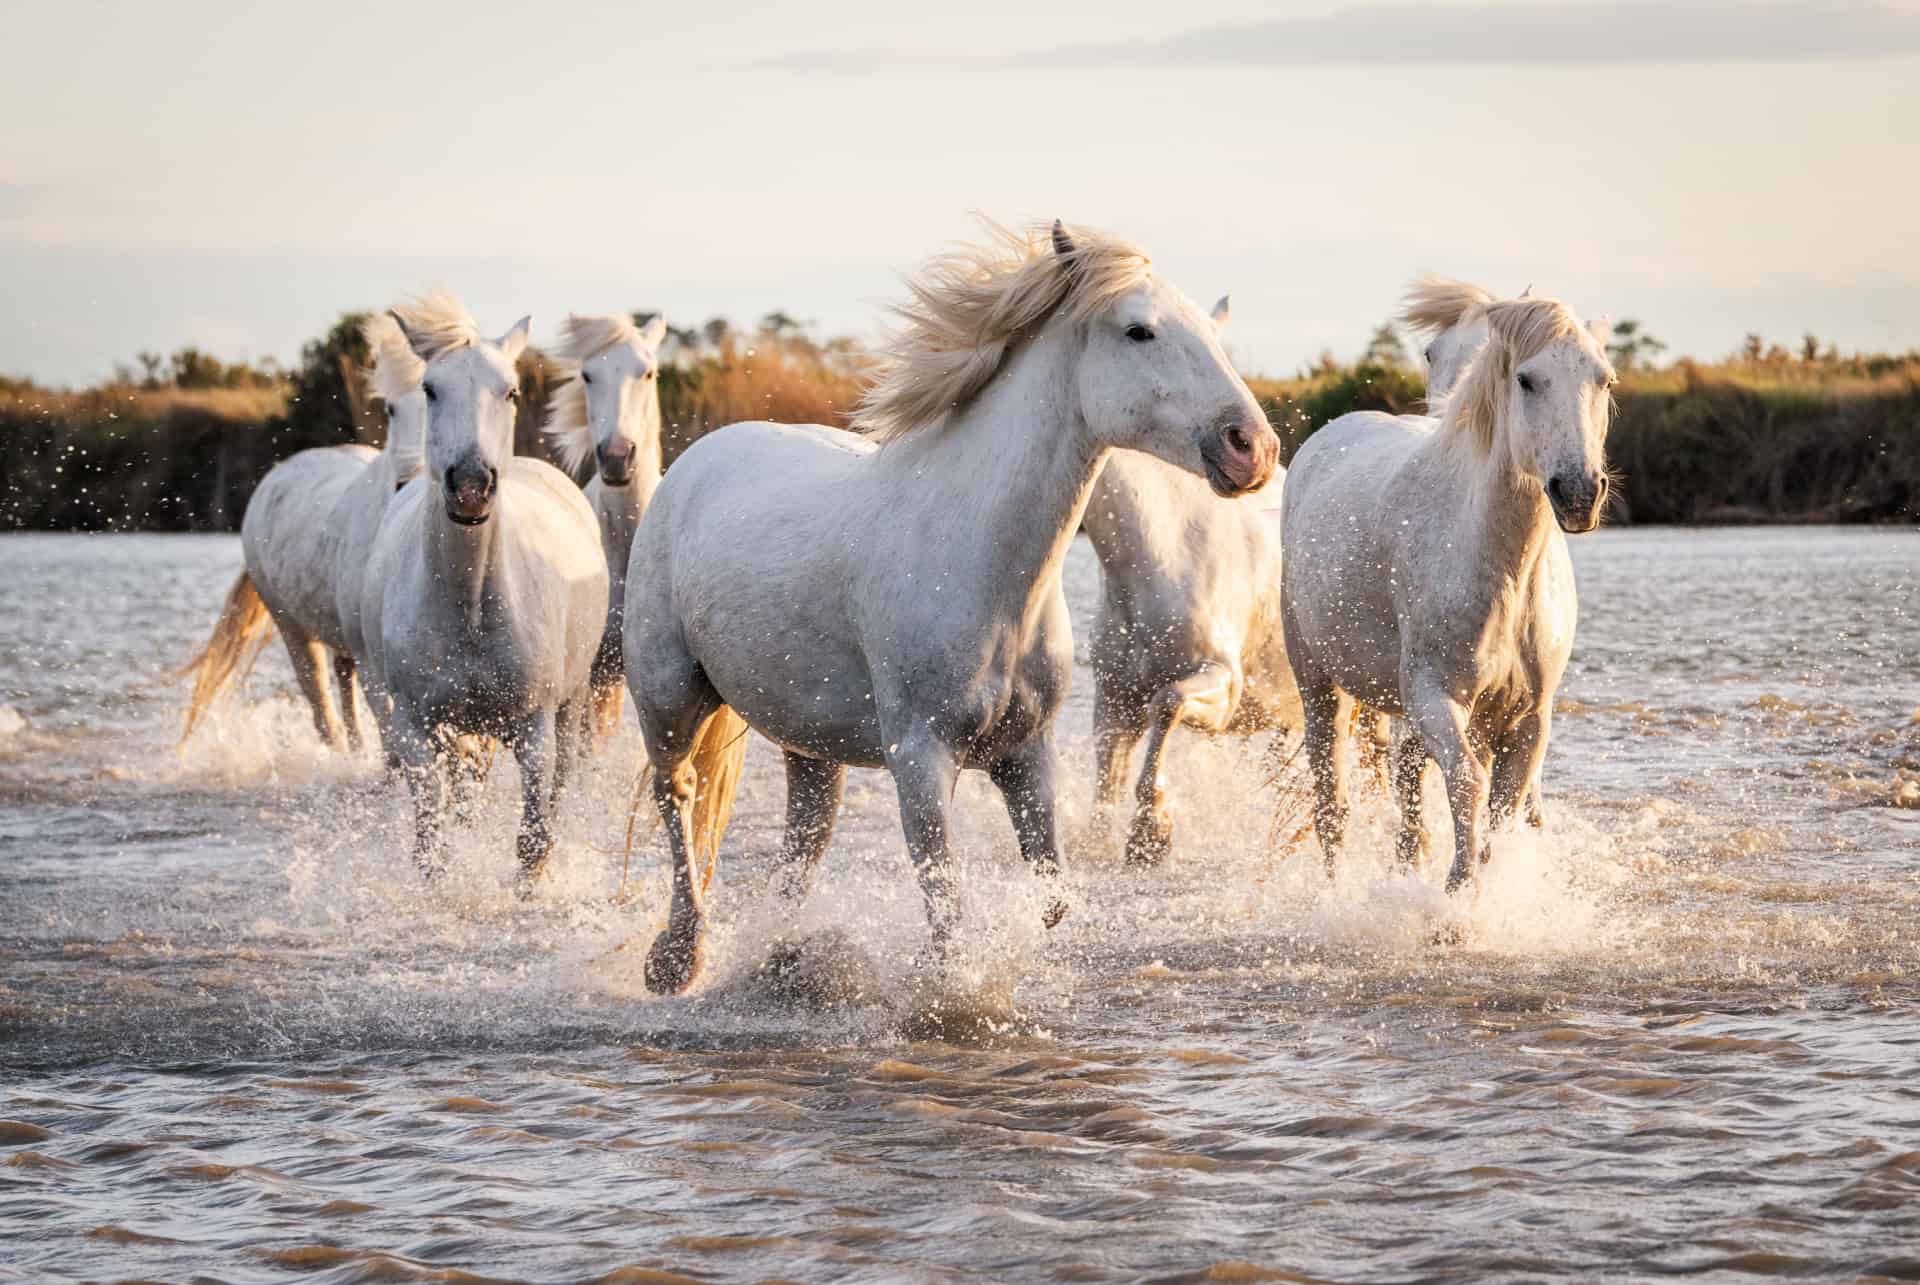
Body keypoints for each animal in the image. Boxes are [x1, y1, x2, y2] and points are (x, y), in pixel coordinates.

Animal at [358, 293, 609, 884]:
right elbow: (431, 846)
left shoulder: (535, 729)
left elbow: (533, 841)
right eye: (430, 389)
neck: (470, 608)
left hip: (570, 705)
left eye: (511, 391)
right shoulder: (416, 730)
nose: (471, 486)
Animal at [1280, 295, 1613, 893]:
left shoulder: (1528, 719)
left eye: (1605, 379)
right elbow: (1468, 786)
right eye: (1527, 380)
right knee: (1332, 802)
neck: (1501, 572)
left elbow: (1502, 811)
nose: (1578, 493)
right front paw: (1458, 895)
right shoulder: (1435, 698)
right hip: (1318, 681)